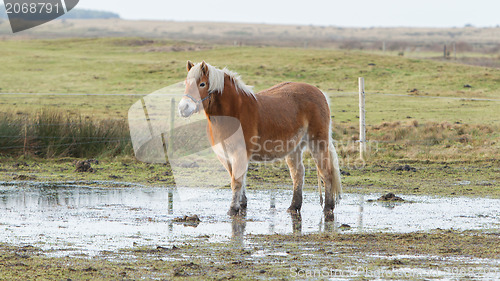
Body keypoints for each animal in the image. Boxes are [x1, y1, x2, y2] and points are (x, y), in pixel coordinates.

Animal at [178, 60, 342, 219]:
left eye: (202, 84)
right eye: (186, 83)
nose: (183, 108)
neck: (233, 113)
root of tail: (320, 93)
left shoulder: (239, 153)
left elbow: (236, 181)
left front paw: (233, 209)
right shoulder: (225, 156)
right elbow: (238, 179)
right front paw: (242, 205)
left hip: (318, 143)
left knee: (326, 172)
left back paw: (328, 208)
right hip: (294, 148)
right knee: (298, 174)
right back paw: (293, 207)